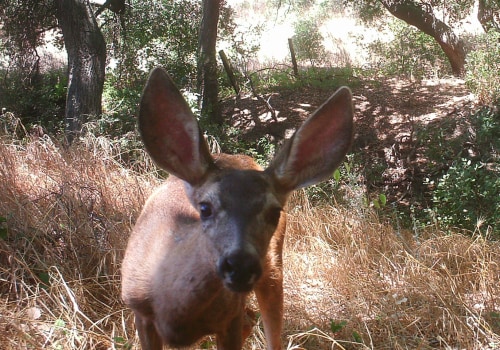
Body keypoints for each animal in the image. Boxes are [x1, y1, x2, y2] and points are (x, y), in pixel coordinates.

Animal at [121, 67, 354, 348]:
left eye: (274, 212)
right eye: (205, 208)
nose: (240, 265)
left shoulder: (229, 316)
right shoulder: (139, 311)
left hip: (273, 268)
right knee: (251, 319)